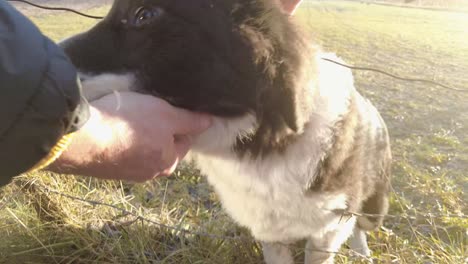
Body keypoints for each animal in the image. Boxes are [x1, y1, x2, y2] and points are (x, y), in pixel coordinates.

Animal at [61, 1, 392, 262]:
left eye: (144, 15)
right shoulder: (270, 230)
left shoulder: (330, 228)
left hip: (373, 205)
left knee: (362, 226)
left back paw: (362, 252)